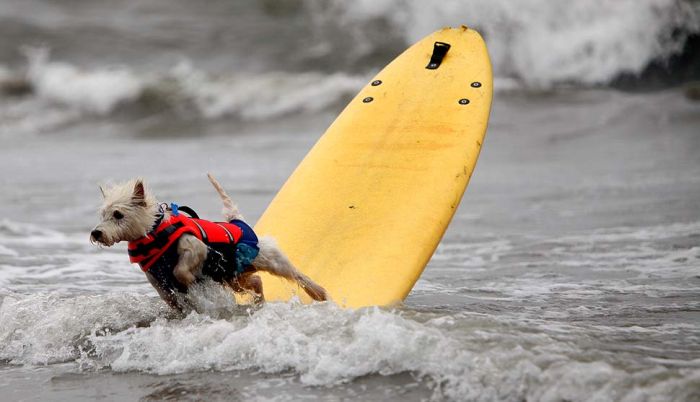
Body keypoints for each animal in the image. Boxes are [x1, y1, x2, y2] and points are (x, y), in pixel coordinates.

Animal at [90, 174, 328, 312]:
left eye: (118, 214)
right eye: (102, 215)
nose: (96, 232)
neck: (152, 233)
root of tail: (238, 221)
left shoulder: (196, 247)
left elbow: (180, 270)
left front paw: (190, 281)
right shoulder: (155, 278)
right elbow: (168, 296)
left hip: (269, 260)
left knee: (295, 274)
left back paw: (319, 293)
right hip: (234, 276)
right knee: (257, 281)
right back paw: (259, 301)